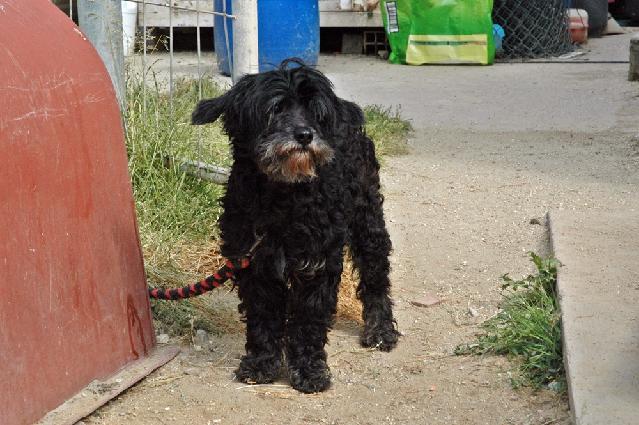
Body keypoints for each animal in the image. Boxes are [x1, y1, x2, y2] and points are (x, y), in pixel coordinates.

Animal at [192, 58, 398, 392]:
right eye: (275, 109)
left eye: (316, 112)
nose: (304, 134)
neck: (283, 197)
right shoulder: (254, 264)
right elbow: (263, 318)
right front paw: (261, 364)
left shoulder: (318, 264)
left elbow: (308, 320)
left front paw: (310, 369)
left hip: (369, 224)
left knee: (376, 277)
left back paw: (380, 330)